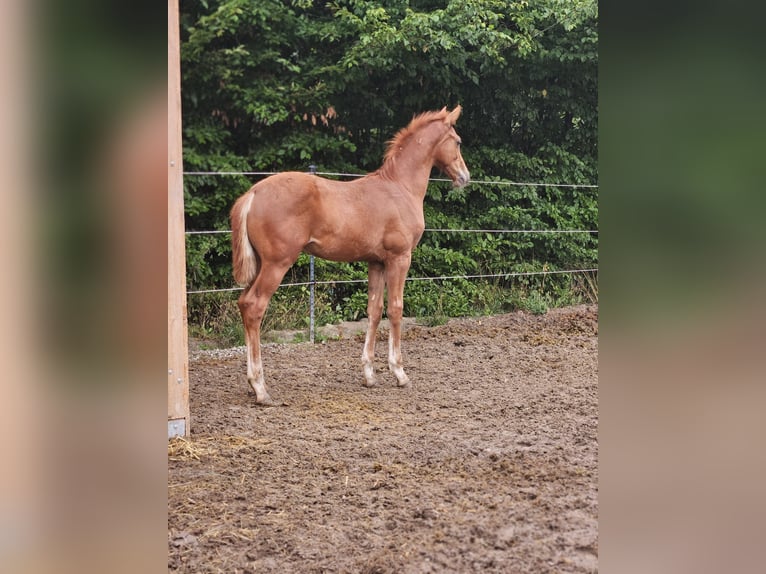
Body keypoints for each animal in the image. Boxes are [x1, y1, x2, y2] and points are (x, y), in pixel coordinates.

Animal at [230, 106, 470, 405]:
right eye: (458, 141)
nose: (465, 177)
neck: (399, 187)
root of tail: (252, 193)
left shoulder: (376, 262)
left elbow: (374, 311)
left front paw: (369, 375)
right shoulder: (399, 258)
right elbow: (396, 309)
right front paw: (400, 373)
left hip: (261, 264)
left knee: (243, 303)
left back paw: (252, 385)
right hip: (277, 264)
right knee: (255, 306)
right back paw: (260, 388)